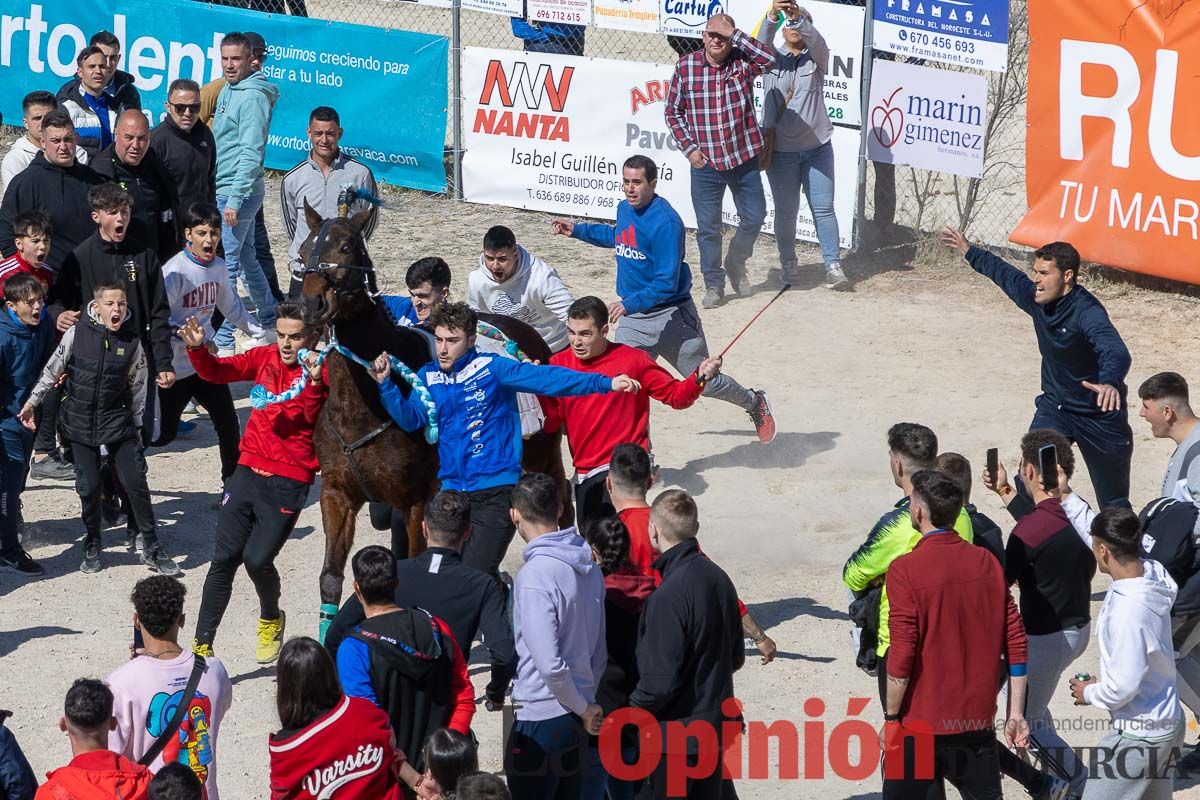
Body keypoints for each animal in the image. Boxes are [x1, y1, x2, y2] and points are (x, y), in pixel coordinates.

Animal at [292, 205, 568, 638]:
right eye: (304, 250)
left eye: (347, 246)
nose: (311, 304)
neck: (361, 409)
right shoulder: (336, 494)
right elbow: (331, 577)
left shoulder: (419, 500)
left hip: (543, 451)